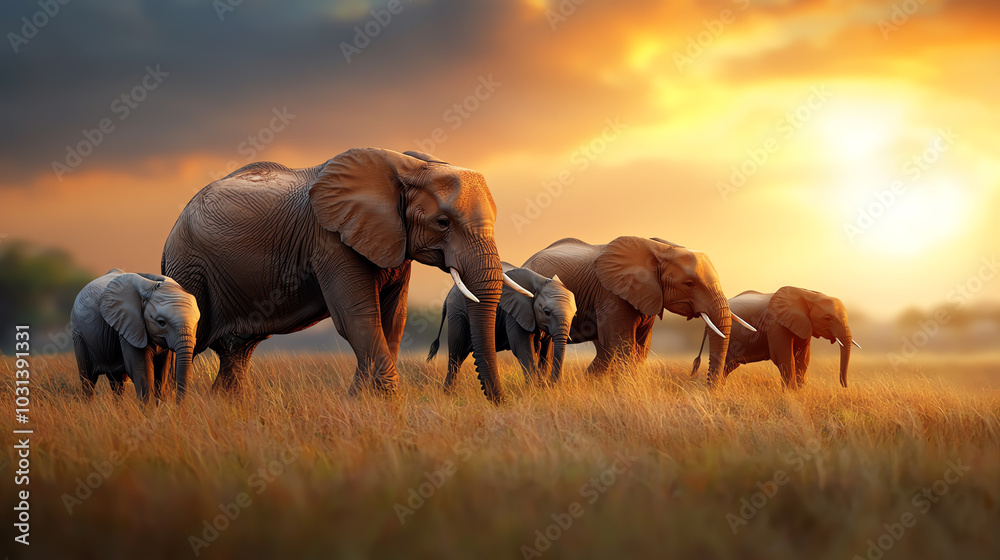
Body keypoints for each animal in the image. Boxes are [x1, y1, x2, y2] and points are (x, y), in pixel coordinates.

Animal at [70, 269, 200, 402]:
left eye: (196, 323)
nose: (179, 404)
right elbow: (141, 371)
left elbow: (162, 374)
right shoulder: (130, 326)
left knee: (117, 382)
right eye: (161, 322)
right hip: (78, 334)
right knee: (88, 379)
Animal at [162, 148, 531, 403]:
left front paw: (359, 401)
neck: (407, 165)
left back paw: (223, 404)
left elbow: (392, 320)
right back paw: (166, 404)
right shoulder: (330, 241)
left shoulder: (393, 243)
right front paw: (388, 405)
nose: (501, 403)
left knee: (237, 350)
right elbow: (358, 318)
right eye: (442, 223)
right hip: (188, 266)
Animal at [427, 262, 577, 387]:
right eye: (547, 312)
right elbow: (522, 347)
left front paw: (544, 387)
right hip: (458, 313)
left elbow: (547, 352)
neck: (539, 281)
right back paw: (449, 393)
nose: (553, 384)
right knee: (457, 354)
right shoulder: (513, 313)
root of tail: (449, 294)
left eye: (574, 315)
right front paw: (536, 389)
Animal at [521, 237, 755, 383]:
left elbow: (640, 347)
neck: (661, 248)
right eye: (689, 284)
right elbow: (622, 344)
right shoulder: (611, 294)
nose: (707, 388)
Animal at [690, 287, 861, 389]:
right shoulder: (775, 324)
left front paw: (800, 393)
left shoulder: (804, 325)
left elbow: (803, 358)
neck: (808, 295)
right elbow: (784, 357)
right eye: (827, 318)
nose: (844, 386)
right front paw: (792, 394)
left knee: (728, 366)